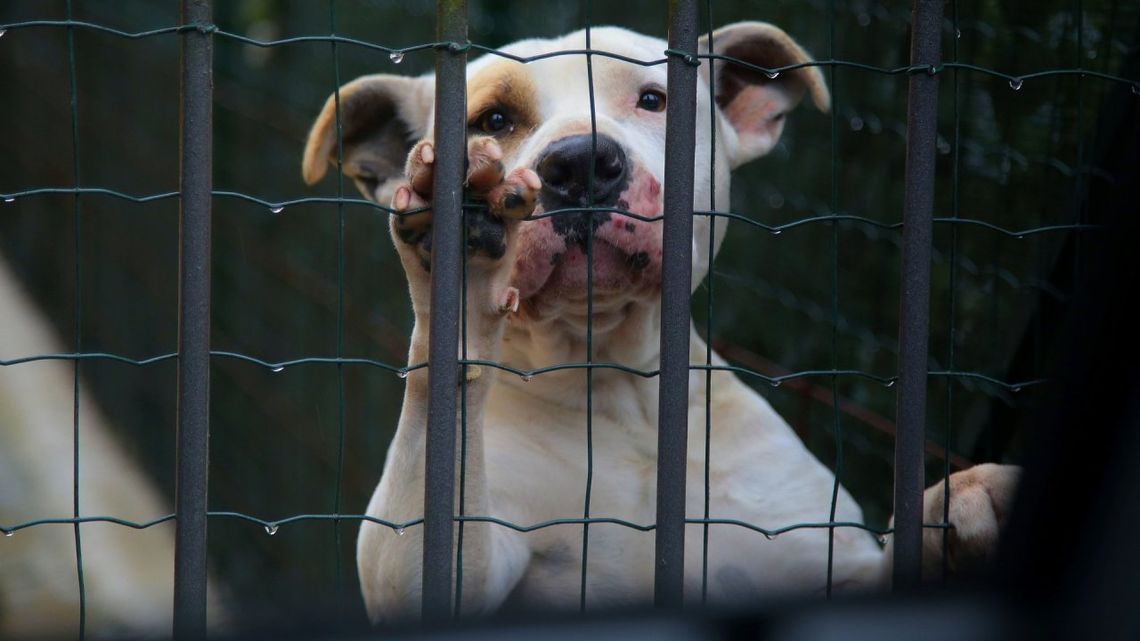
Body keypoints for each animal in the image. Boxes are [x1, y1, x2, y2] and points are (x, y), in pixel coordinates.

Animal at [303, 21, 1016, 620]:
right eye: (493, 119)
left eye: (653, 100)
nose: (578, 163)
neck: (623, 394)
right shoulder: (441, 559)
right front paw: (462, 258)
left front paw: (959, 505)